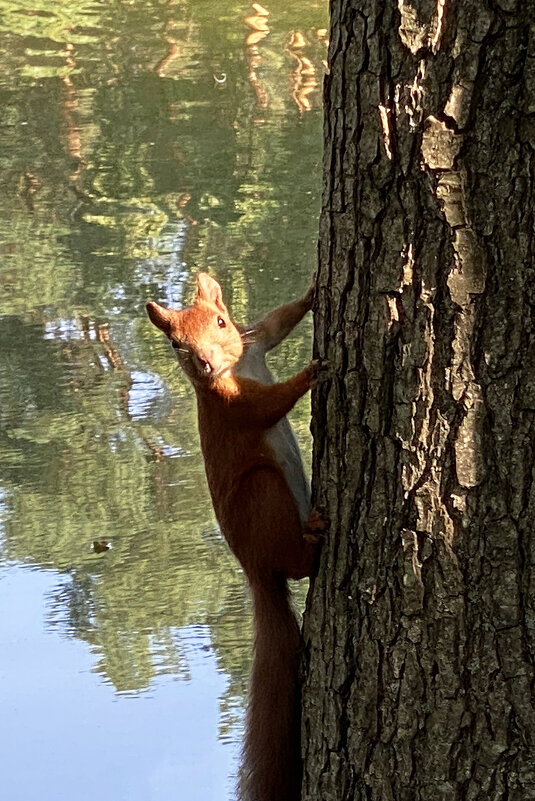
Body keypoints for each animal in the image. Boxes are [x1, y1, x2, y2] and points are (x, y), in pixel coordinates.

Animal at [147, 274, 322, 800]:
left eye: (222, 322)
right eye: (176, 345)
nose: (204, 361)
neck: (233, 367)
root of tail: (255, 571)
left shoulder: (256, 340)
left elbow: (278, 322)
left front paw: (311, 294)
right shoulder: (232, 404)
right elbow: (269, 404)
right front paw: (308, 376)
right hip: (264, 494)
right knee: (297, 564)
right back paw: (314, 536)